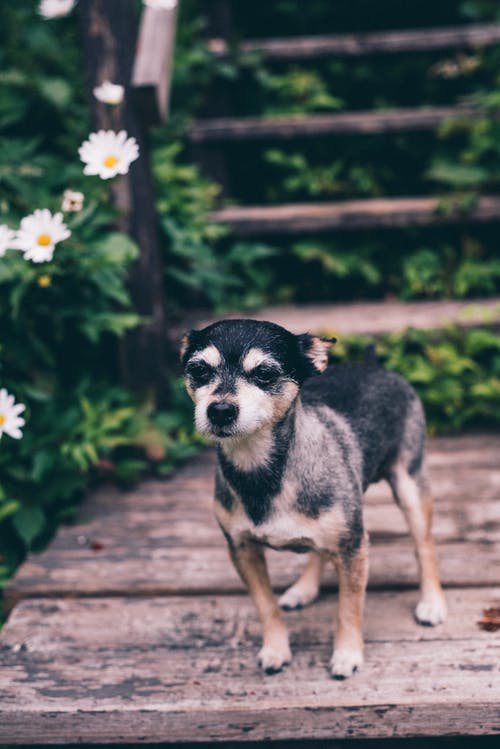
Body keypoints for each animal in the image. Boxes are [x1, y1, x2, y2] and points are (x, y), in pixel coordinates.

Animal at [182, 318, 448, 680]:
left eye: (265, 373)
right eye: (198, 370)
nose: (220, 410)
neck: (261, 470)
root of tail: (373, 366)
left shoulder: (352, 548)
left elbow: (348, 608)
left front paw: (347, 655)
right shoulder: (242, 549)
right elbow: (265, 606)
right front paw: (276, 649)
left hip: (410, 484)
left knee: (424, 545)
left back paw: (432, 602)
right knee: (317, 550)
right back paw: (304, 589)